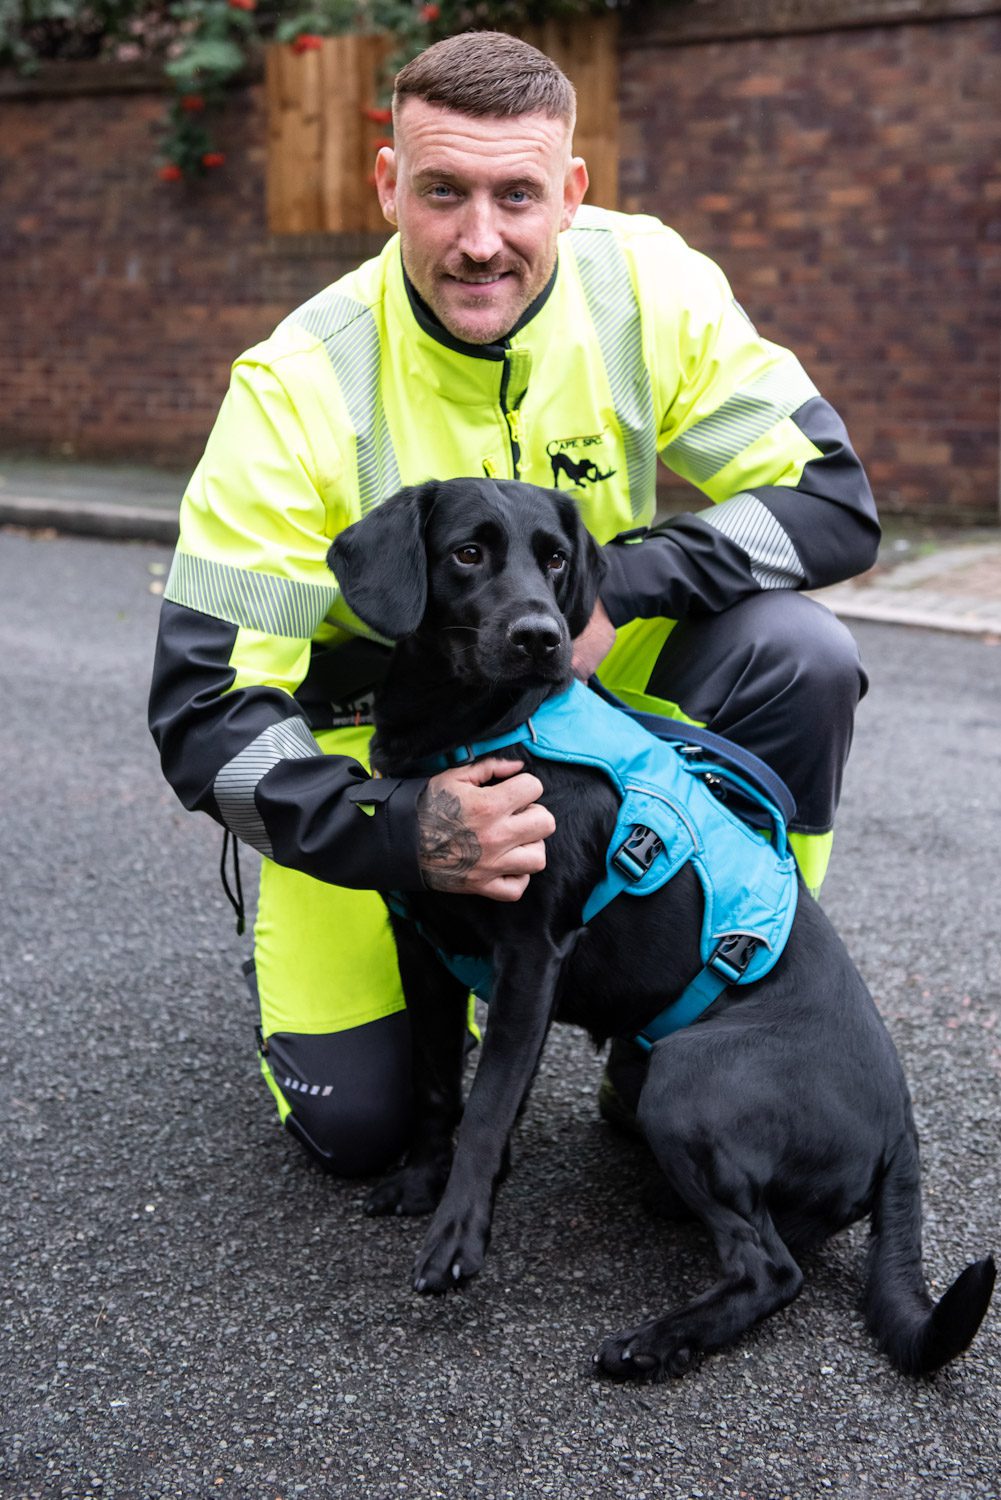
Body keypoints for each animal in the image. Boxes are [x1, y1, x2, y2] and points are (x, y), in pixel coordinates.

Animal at [328, 474, 996, 1374]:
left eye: (556, 560)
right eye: (466, 552)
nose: (542, 638)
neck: (470, 731)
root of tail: (902, 1129)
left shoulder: (531, 959)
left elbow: (488, 1108)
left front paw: (457, 1235)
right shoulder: (424, 950)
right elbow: (437, 1084)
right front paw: (419, 1181)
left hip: (686, 1080)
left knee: (772, 1270)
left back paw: (657, 1343)